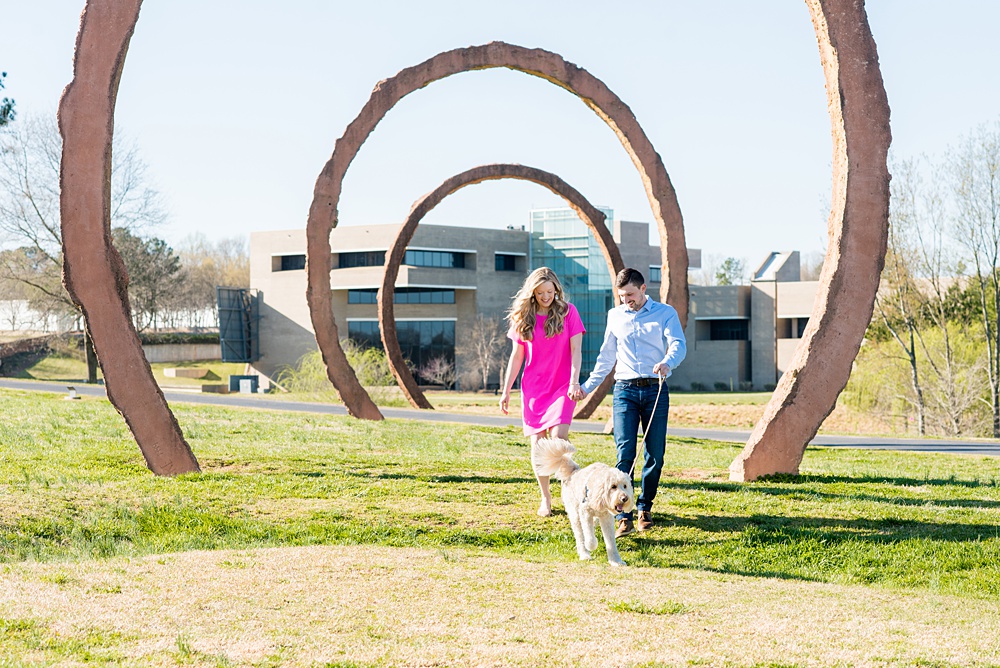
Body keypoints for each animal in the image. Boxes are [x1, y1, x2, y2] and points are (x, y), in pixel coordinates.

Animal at [532, 440, 632, 568]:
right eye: (613, 487)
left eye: (625, 486)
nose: (625, 498)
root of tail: (574, 471)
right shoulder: (585, 513)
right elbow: (589, 537)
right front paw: (591, 546)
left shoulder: (606, 518)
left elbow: (610, 541)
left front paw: (616, 561)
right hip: (575, 515)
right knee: (580, 535)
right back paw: (584, 554)